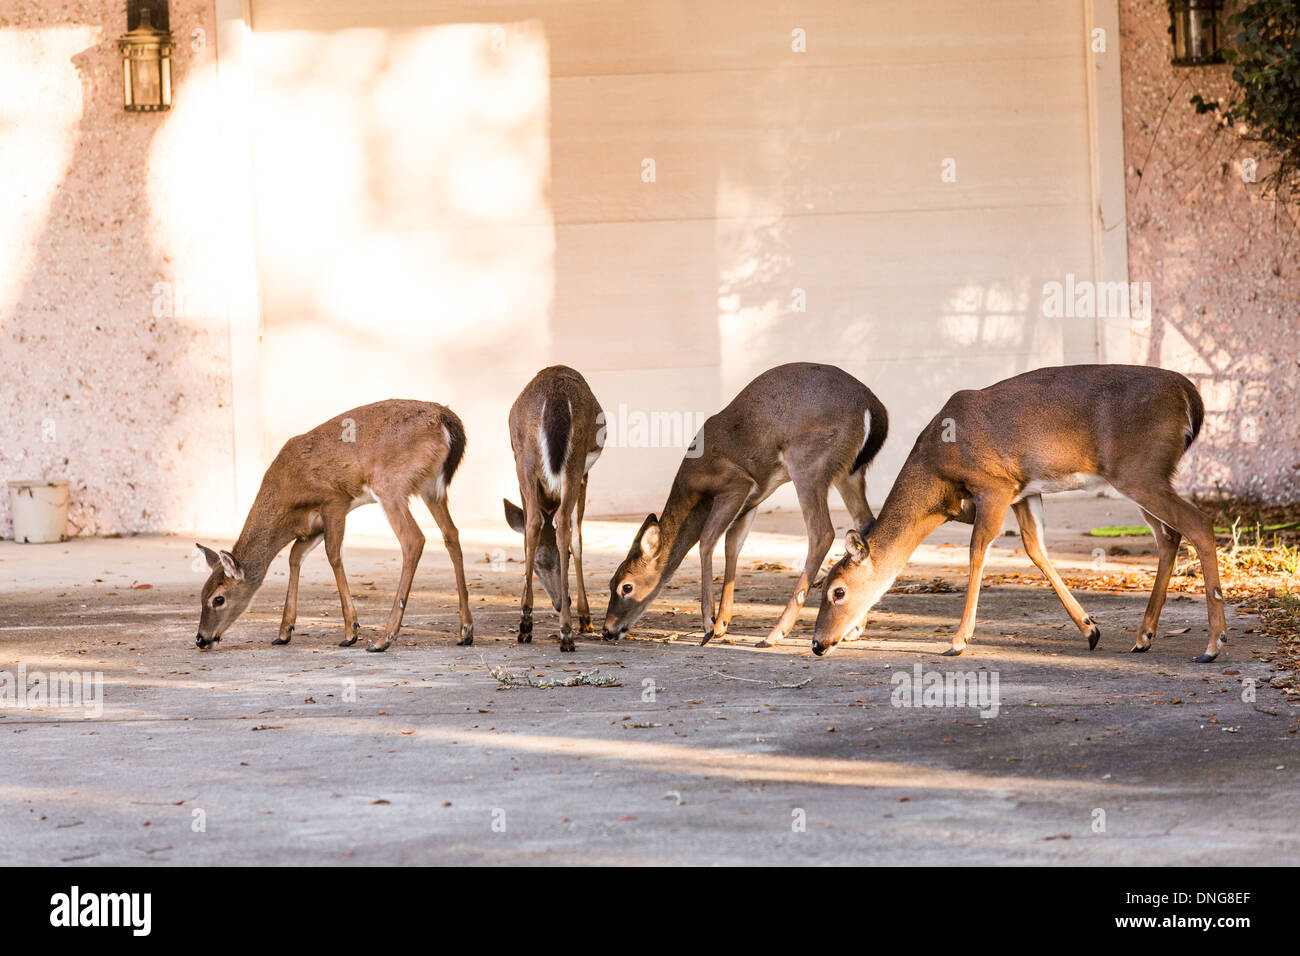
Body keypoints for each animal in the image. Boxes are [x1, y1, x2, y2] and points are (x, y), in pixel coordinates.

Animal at [189, 400, 475, 655]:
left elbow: (333, 554)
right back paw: (465, 631)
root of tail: (448, 421)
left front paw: (351, 632)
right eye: (201, 593)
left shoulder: (334, 500)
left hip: (390, 485)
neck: (287, 497)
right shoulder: (312, 525)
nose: (201, 639)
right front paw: (284, 631)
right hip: (432, 488)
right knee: (451, 534)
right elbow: (295, 556)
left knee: (413, 539)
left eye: (218, 598)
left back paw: (383, 639)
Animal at [501, 364, 603, 650]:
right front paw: (586, 617)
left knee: (535, 522)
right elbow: (578, 538)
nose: (560, 602)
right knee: (565, 523)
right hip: (574, 462)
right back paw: (566, 630)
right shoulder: (585, 475)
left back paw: (527, 625)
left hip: (524, 459)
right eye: (539, 566)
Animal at [600, 361, 889, 647]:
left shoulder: (736, 483)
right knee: (864, 522)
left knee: (822, 532)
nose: (607, 630)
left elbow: (707, 540)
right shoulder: (754, 497)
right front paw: (721, 623)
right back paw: (853, 628)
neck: (693, 486)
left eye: (626, 586)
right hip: (848, 472)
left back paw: (775, 634)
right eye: (611, 582)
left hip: (808, 463)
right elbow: (732, 543)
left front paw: (708, 626)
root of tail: (874, 410)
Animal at [811, 366, 1227, 665]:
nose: (817, 643)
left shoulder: (993, 485)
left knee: (1199, 524)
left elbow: (978, 550)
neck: (937, 475)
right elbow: (1035, 549)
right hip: (1142, 477)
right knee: (1169, 536)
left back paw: (1212, 644)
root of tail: (1191, 397)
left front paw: (958, 640)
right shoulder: (1023, 491)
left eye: (837, 591)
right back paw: (1144, 638)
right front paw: (1089, 629)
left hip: (1141, 470)